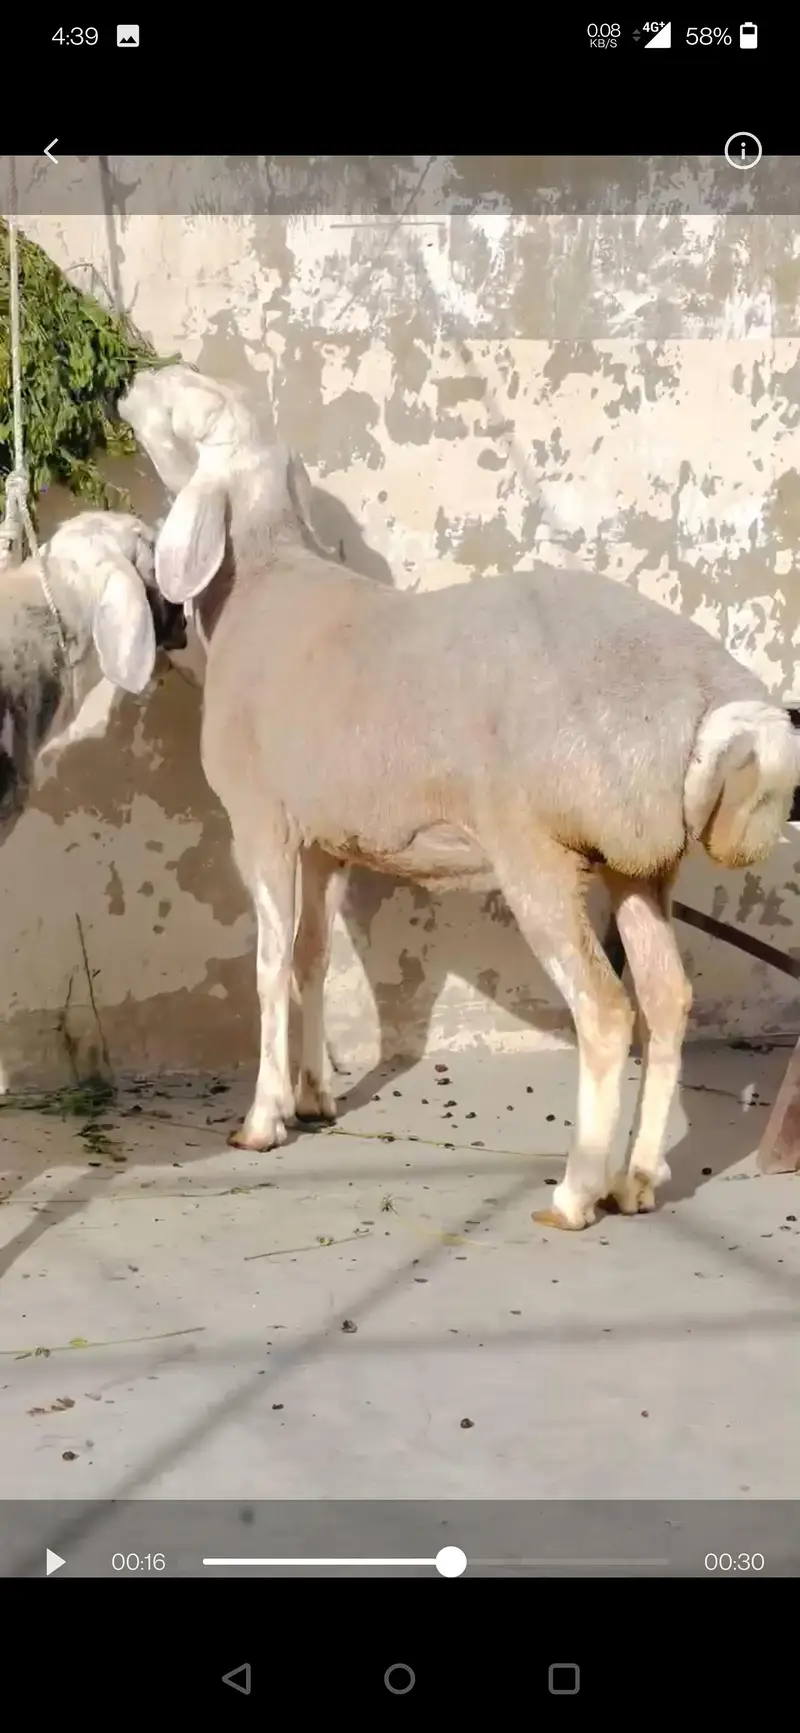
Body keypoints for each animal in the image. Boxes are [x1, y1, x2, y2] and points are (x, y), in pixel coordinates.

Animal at [121, 364, 798, 1233]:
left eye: (189, 403)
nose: (133, 380)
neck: (263, 578)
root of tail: (712, 693)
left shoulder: (261, 817)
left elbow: (271, 965)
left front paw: (263, 1118)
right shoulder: (327, 838)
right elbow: (311, 960)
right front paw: (314, 1097)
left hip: (537, 846)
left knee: (607, 1012)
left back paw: (576, 1192)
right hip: (641, 860)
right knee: (668, 998)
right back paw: (639, 1179)